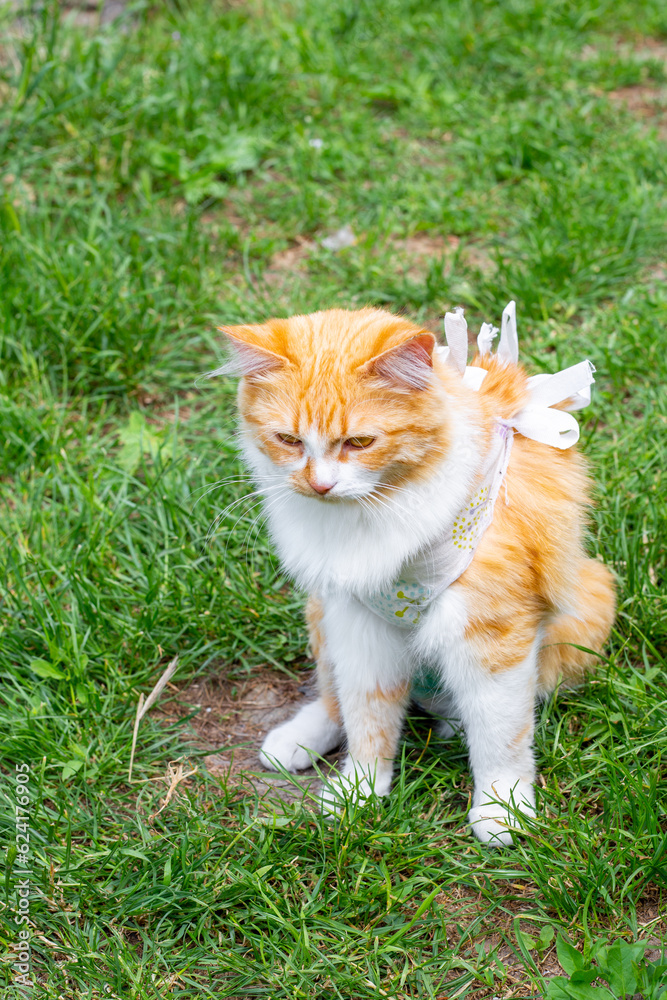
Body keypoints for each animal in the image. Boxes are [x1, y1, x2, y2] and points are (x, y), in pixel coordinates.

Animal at [214, 302, 616, 844]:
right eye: (289, 440)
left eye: (360, 442)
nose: (320, 486)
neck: (377, 510)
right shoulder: (358, 625)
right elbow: (368, 718)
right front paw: (359, 792)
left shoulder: (493, 639)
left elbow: (501, 735)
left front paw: (500, 808)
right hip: (321, 616)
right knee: (331, 698)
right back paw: (296, 740)